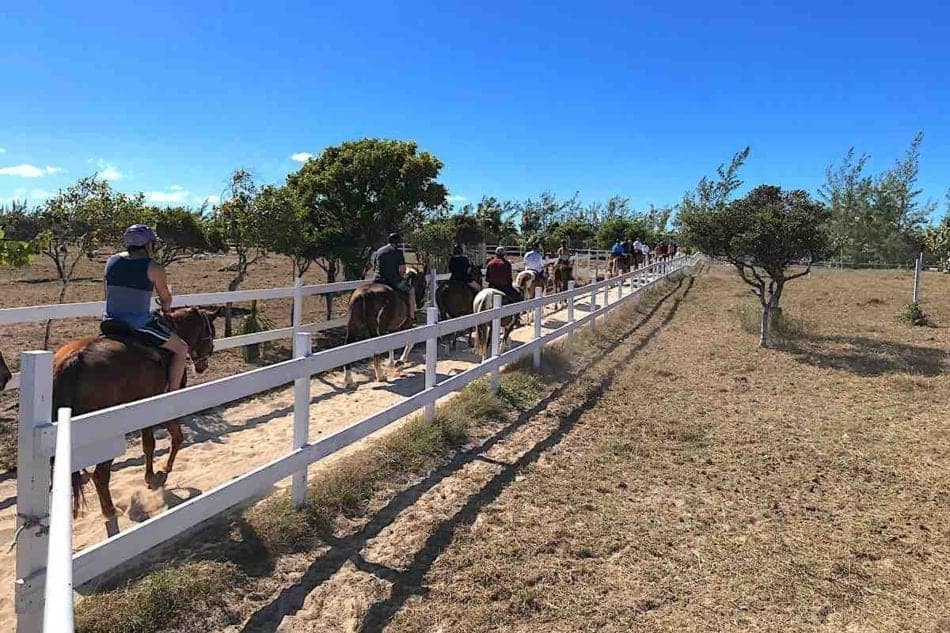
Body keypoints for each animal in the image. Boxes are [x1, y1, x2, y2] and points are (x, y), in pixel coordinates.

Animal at [54, 306, 221, 520]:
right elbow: (167, 439)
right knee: (100, 475)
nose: (202, 365)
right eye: (210, 332)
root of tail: (75, 359)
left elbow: (153, 443)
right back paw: (109, 510)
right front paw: (159, 473)